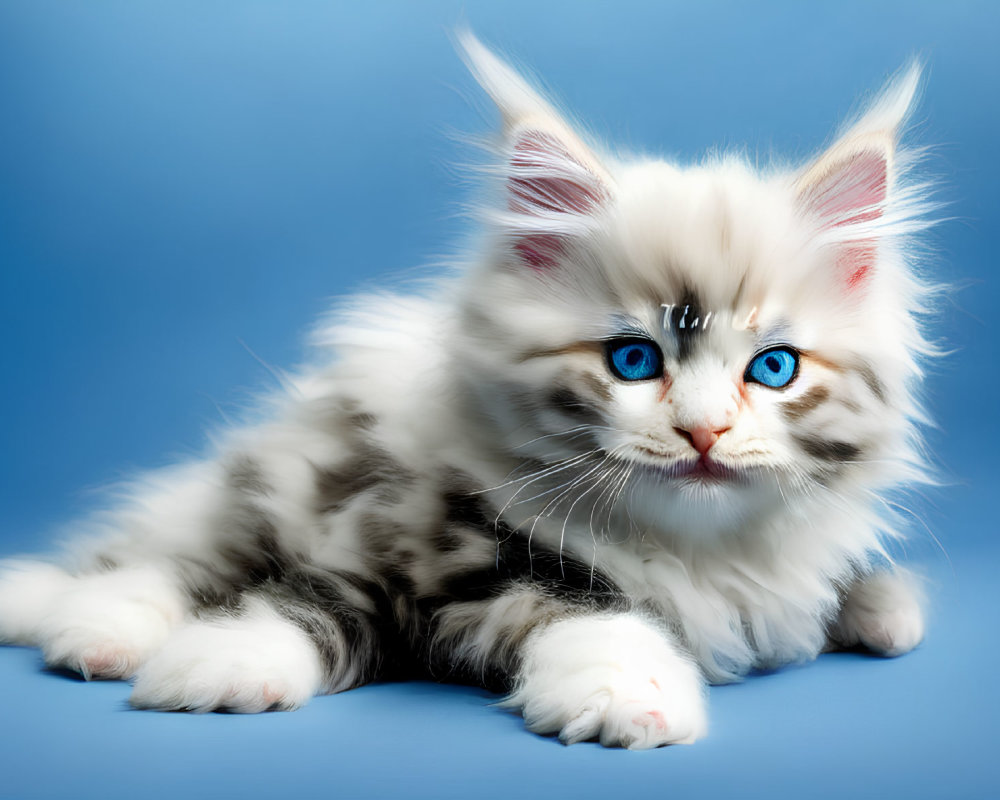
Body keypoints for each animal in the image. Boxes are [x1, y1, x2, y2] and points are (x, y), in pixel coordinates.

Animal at [0, 36, 936, 752]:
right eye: (634, 360)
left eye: (773, 369)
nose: (703, 433)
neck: (692, 551)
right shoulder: (399, 542)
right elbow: (329, 603)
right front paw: (218, 665)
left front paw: (878, 608)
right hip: (283, 485)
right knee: (184, 559)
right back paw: (92, 627)